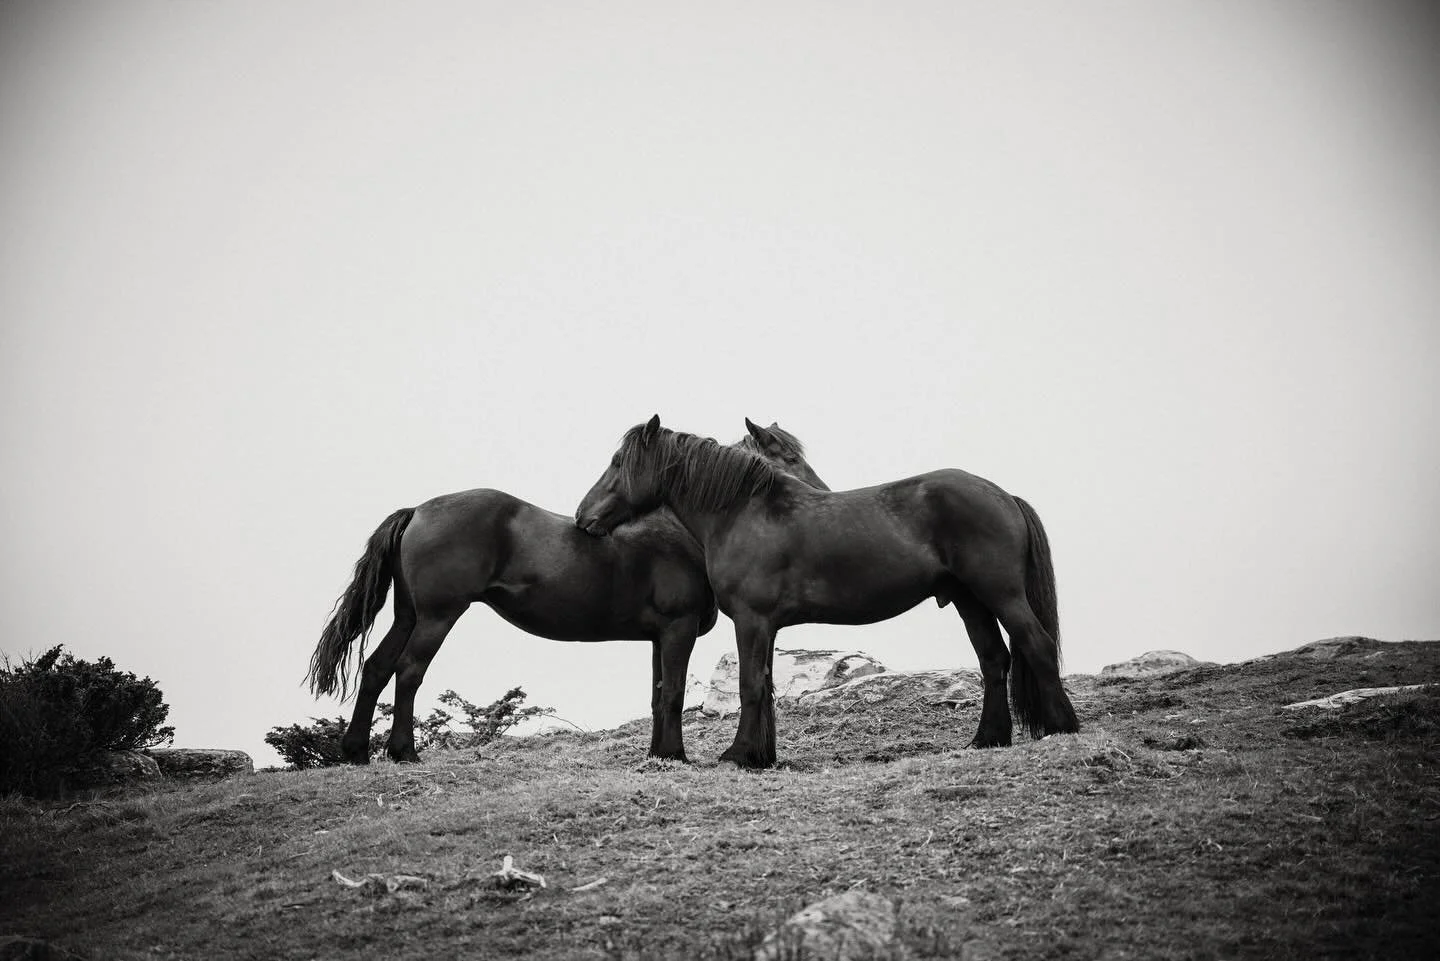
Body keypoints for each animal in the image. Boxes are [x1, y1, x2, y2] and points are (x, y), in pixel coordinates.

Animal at [307, 419, 828, 764]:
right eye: (790, 458)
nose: (820, 496)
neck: (678, 532)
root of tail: (418, 510)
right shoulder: (677, 631)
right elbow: (675, 692)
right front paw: (676, 755)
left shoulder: (659, 638)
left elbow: (659, 693)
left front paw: (661, 754)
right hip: (437, 617)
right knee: (408, 671)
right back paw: (403, 753)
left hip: (409, 614)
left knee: (377, 668)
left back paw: (356, 751)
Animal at [574, 415, 1079, 769]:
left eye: (618, 464)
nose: (583, 516)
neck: (743, 512)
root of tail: (1003, 495)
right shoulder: (767, 626)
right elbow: (764, 685)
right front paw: (762, 756)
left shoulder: (752, 620)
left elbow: (749, 686)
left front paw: (738, 756)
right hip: (970, 601)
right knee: (994, 660)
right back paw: (986, 740)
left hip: (1001, 594)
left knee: (1036, 644)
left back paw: (1062, 727)